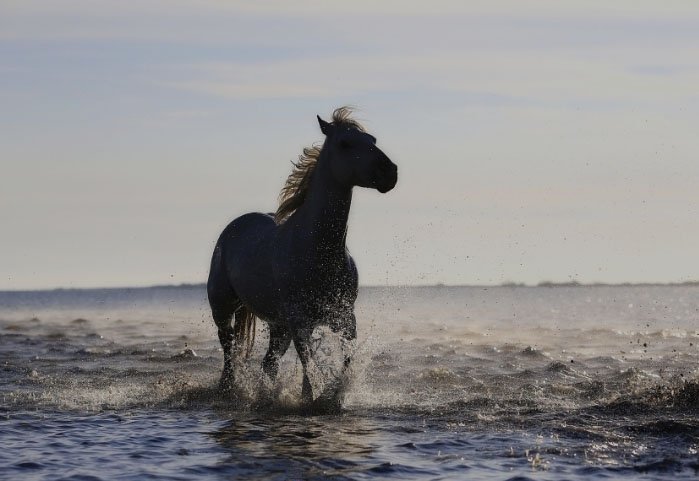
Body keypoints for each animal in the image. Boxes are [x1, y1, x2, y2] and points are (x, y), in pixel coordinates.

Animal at [207, 107, 398, 408]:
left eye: (372, 139)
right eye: (345, 143)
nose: (389, 172)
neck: (318, 249)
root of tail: (233, 227)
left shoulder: (344, 318)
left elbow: (344, 360)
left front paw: (332, 396)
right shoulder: (300, 321)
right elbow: (309, 364)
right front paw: (315, 397)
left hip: (278, 326)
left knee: (268, 363)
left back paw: (265, 396)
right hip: (223, 308)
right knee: (229, 352)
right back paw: (228, 390)